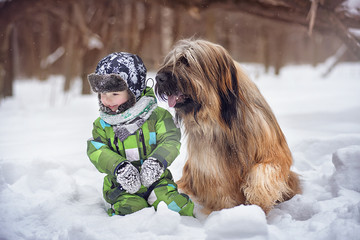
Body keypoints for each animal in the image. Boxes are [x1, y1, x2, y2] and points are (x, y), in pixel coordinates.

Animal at [155, 39, 300, 214]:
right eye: (169, 60)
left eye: (186, 61)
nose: (158, 77)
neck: (221, 120)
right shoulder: (211, 166)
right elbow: (221, 190)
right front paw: (228, 212)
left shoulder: (273, 151)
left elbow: (263, 171)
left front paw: (257, 199)